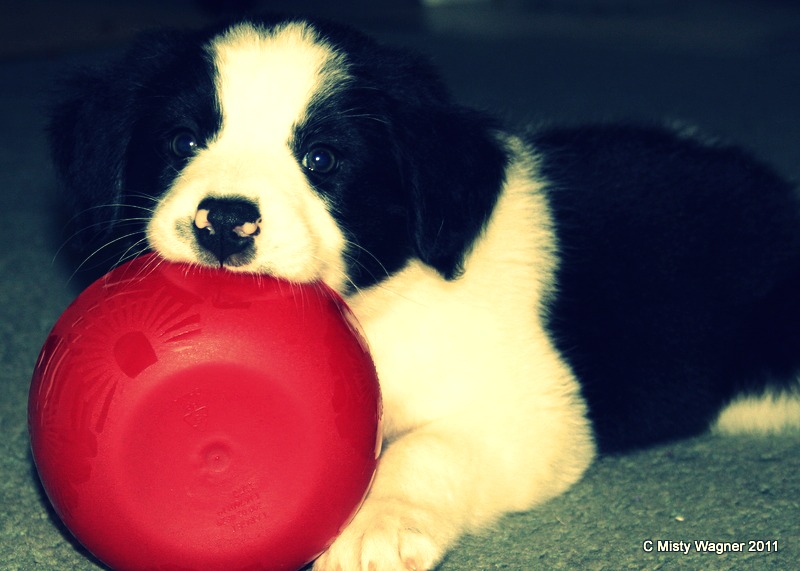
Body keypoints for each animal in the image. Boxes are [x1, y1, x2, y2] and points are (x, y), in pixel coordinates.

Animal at [49, 14, 800, 570]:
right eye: (182, 141)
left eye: (321, 159)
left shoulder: (537, 413)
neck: (378, 304)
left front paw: (373, 527)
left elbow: (425, 448)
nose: (226, 220)